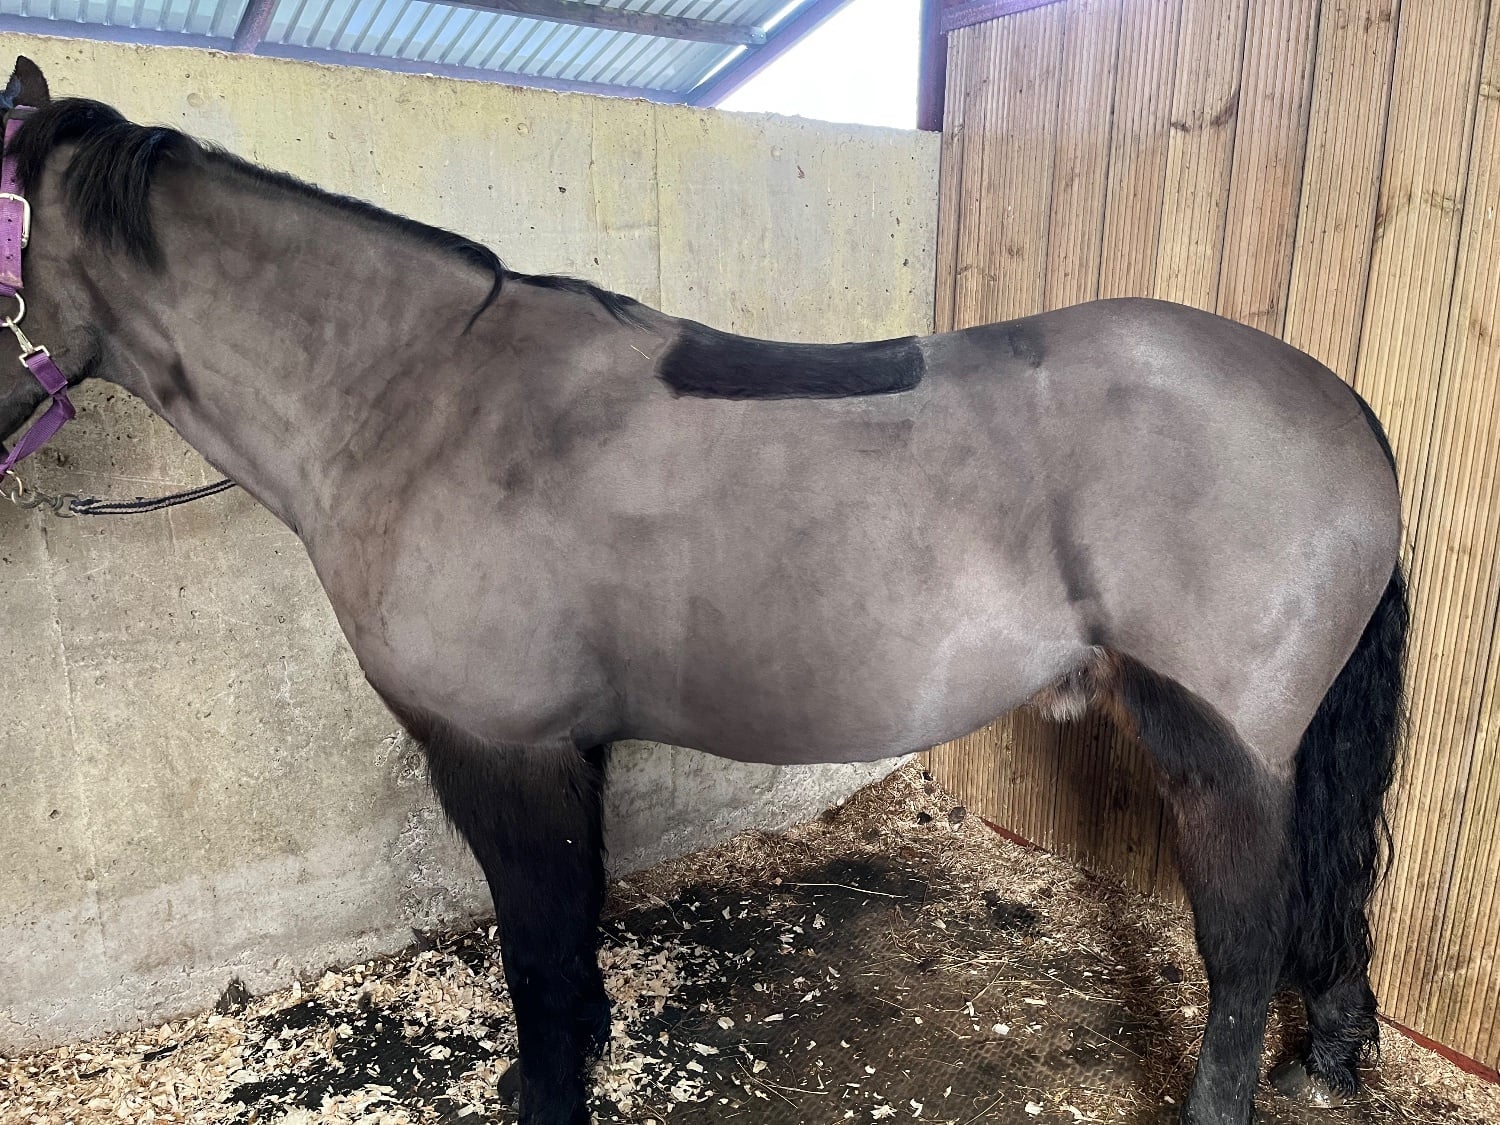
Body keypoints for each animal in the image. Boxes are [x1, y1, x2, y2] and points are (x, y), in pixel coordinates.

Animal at [0, 56, 1407, 1125]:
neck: (422, 402)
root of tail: (1343, 406)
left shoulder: (504, 754)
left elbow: (540, 958)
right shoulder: (570, 750)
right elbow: (570, 942)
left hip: (1222, 756)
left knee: (1244, 952)